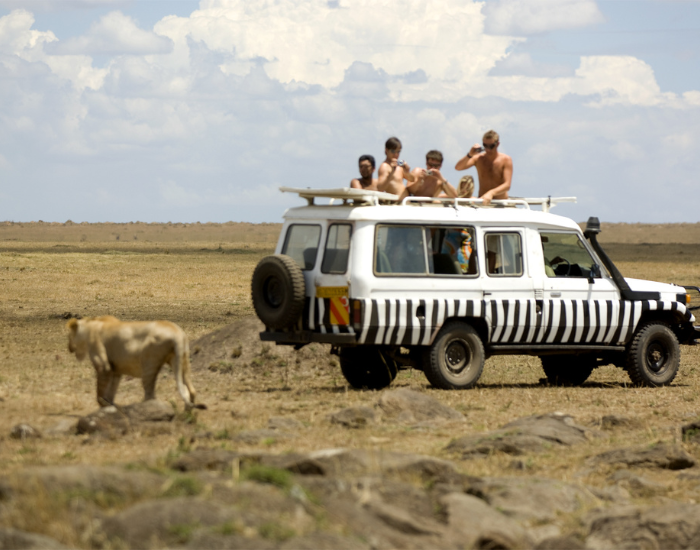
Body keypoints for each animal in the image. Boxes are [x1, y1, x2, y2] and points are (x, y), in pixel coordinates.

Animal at [66, 316, 205, 409]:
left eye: (68, 336)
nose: (69, 348)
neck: (90, 325)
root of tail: (177, 333)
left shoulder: (103, 365)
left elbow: (100, 393)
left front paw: (104, 405)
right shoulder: (116, 370)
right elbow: (111, 391)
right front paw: (110, 406)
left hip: (149, 363)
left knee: (150, 395)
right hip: (181, 361)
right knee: (191, 390)